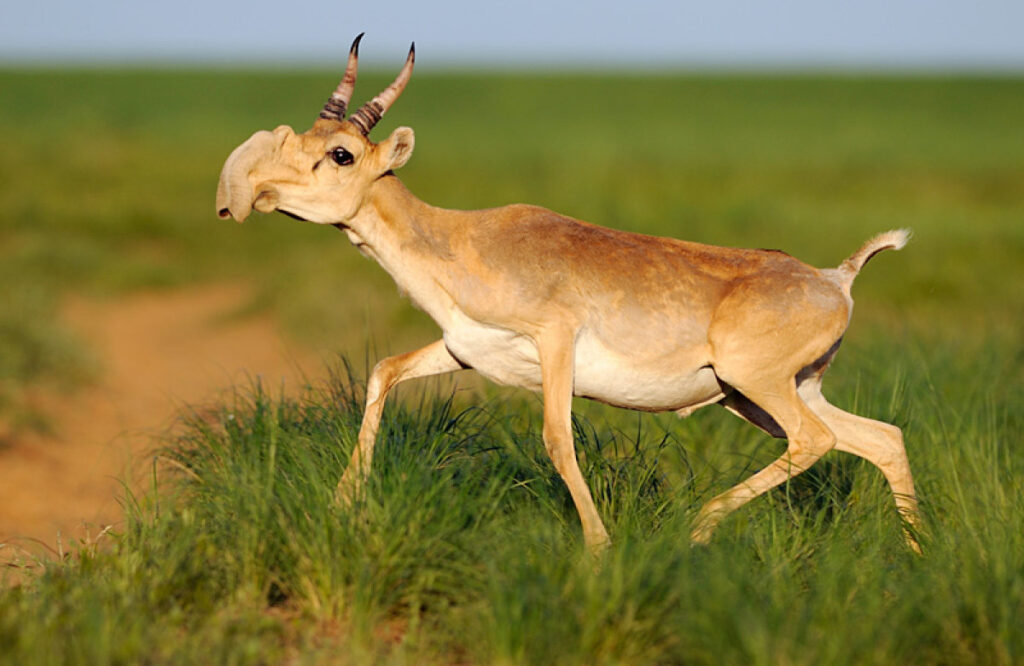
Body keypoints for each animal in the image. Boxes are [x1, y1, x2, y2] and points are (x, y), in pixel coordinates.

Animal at [216, 35, 921, 549]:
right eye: (304, 137)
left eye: (340, 154)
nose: (252, 191)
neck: (462, 239)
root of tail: (835, 279)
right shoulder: (463, 350)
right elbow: (383, 370)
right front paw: (344, 505)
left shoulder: (555, 342)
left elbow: (558, 438)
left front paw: (599, 550)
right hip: (767, 395)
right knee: (880, 438)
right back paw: (914, 559)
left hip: (756, 385)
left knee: (818, 442)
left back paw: (698, 527)